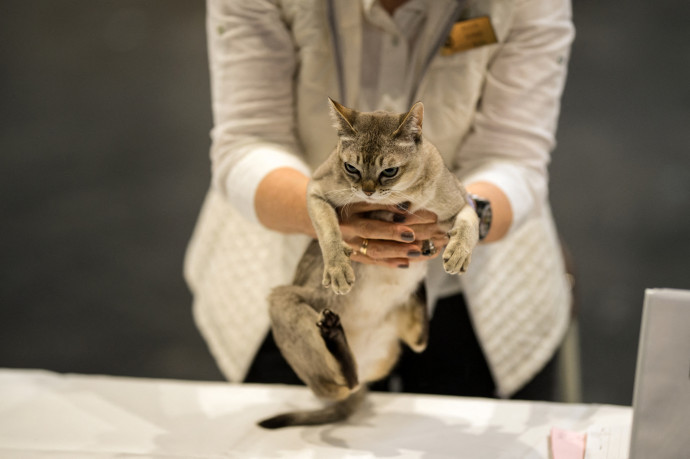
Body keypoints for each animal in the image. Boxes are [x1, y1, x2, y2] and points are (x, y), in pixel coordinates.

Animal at [255, 99, 476, 430]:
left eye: (389, 171)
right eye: (351, 168)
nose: (368, 190)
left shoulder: (464, 202)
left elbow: (469, 225)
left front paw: (458, 253)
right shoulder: (316, 190)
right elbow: (329, 231)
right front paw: (338, 269)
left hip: (400, 336)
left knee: (417, 342)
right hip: (283, 301)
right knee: (342, 384)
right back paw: (334, 335)